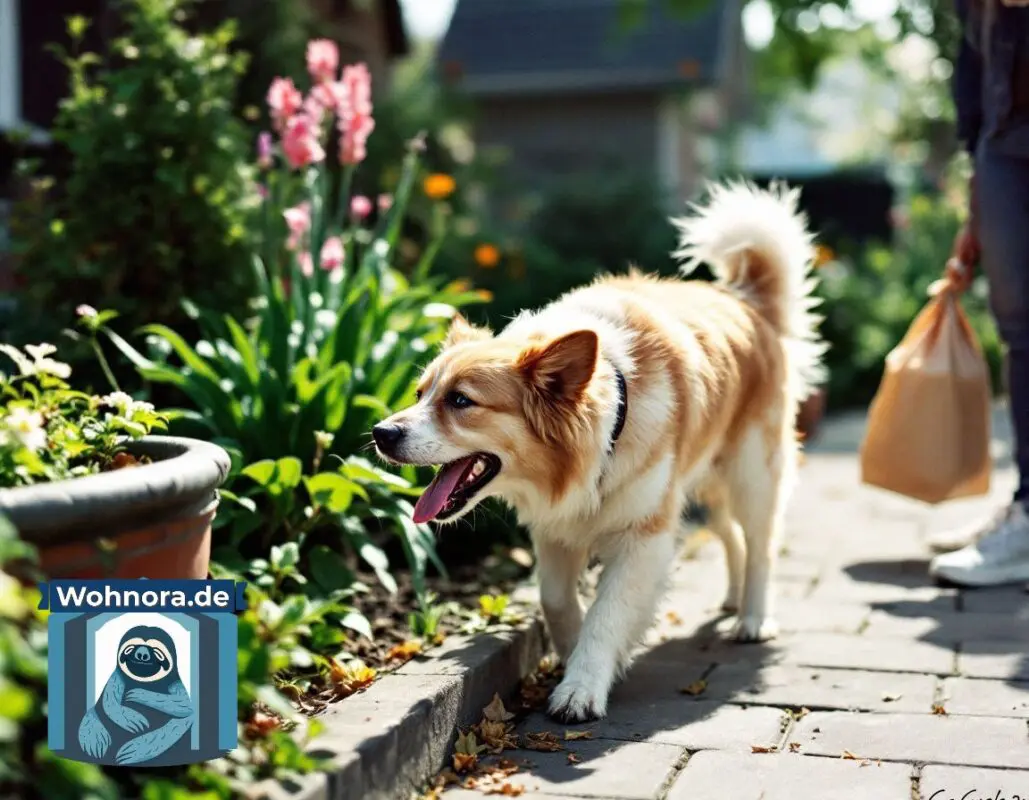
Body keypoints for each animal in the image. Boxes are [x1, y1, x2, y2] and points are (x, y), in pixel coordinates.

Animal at [374, 184, 823, 720]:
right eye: (420, 393)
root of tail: (744, 299)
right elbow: (556, 600)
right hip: (706, 487)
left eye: (460, 401)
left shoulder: (645, 534)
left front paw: (582, 686)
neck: (604, 429)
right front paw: (572, 658)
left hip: (751, 475)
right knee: (731, 536)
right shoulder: (555, 529)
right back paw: (733, 601)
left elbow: (607, 613)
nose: (380, 432)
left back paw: (752, 618)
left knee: (759, 545)